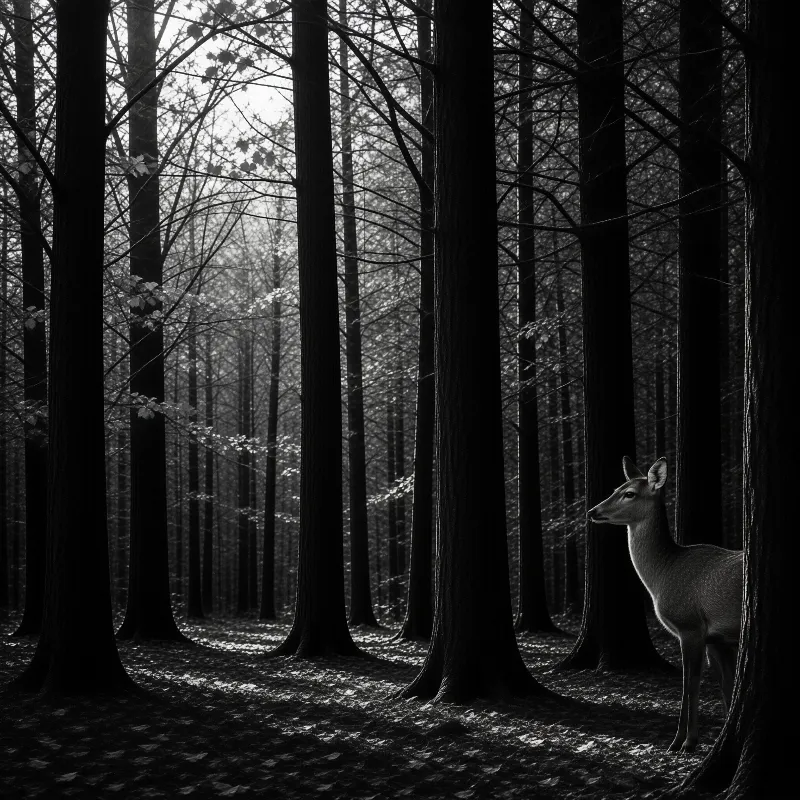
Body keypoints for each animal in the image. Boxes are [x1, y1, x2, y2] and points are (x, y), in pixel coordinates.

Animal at [587, 457, 743, 753]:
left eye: (629, 493)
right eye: (615, 487)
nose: (593, 510)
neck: (663, 575)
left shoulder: (690, 625)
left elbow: (689, 683)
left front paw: (684, 741)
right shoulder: (717, 639)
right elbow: (726, 686)